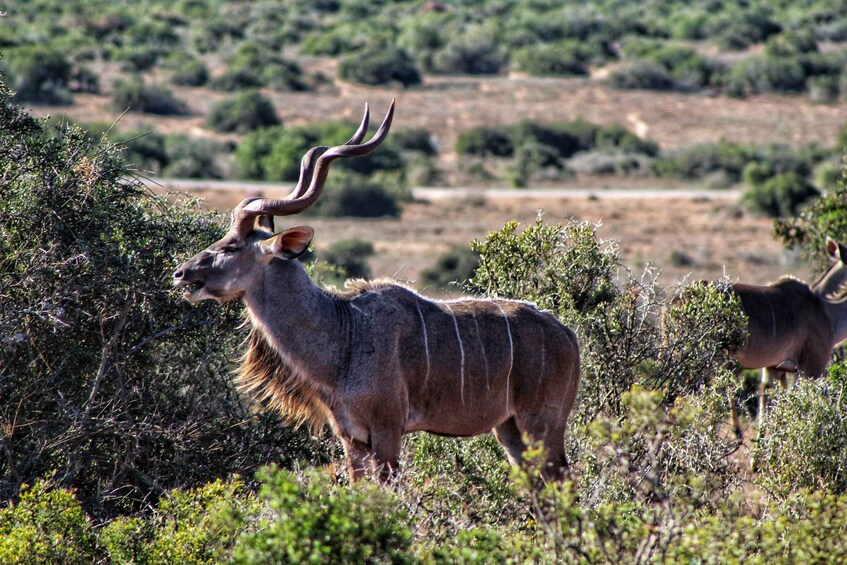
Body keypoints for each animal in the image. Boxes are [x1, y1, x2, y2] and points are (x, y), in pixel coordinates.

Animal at [172, 101, 584, 480]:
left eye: (231, 246)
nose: (181, 274)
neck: (344, 333)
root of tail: (568, 335)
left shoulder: (387, 432)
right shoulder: (351, 439)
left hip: (541, 424)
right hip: (510, 430)